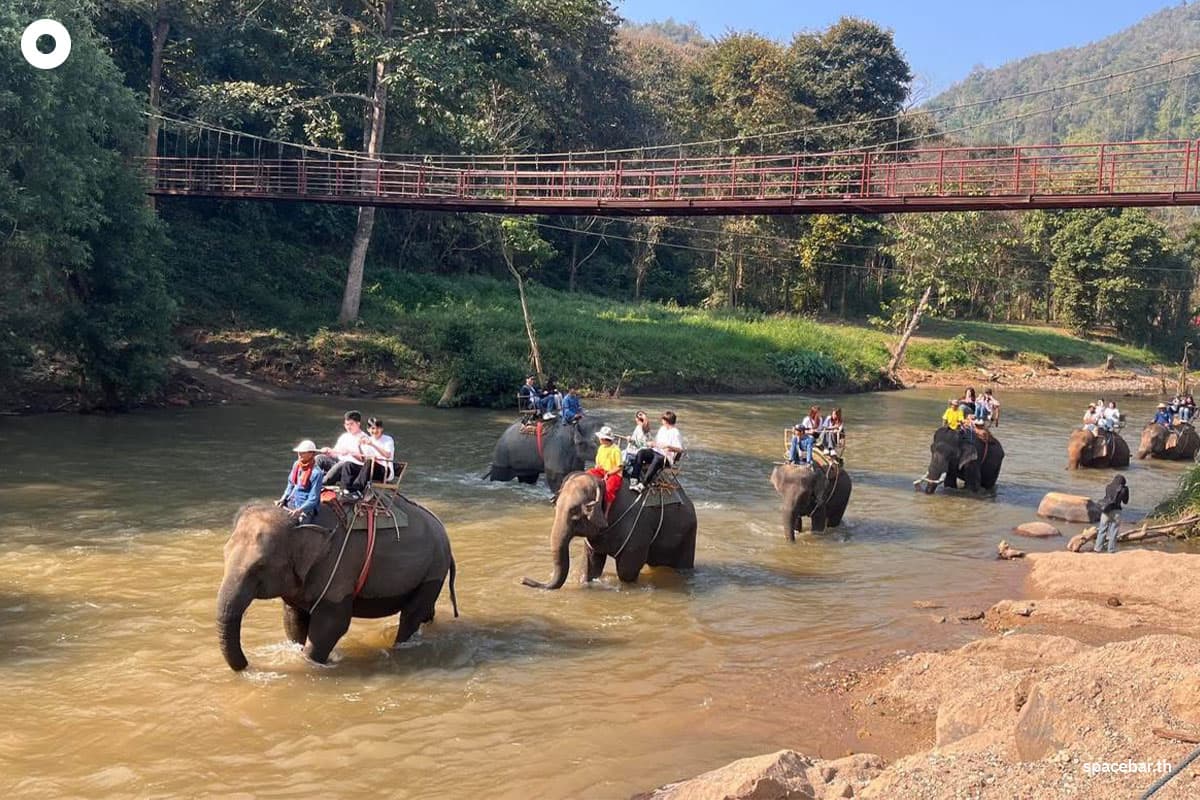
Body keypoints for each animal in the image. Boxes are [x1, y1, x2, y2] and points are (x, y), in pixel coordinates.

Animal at [217, 500, 457, 671]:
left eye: (259, 566)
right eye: (224, 554)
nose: (246, 664)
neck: (298, 520)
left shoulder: (338, 571)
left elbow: (332, 624)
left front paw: (310, 663)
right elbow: (293, 620)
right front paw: (297, 650)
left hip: (434, 569)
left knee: (411, 615)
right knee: (423, 611)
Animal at [522, 471, 697, 589]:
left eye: (575, 513)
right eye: (556, 507)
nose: (523, 580)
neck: (603, 483)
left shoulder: (638, 528)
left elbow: (627, 570)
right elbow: (591, 564)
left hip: (688, 534)